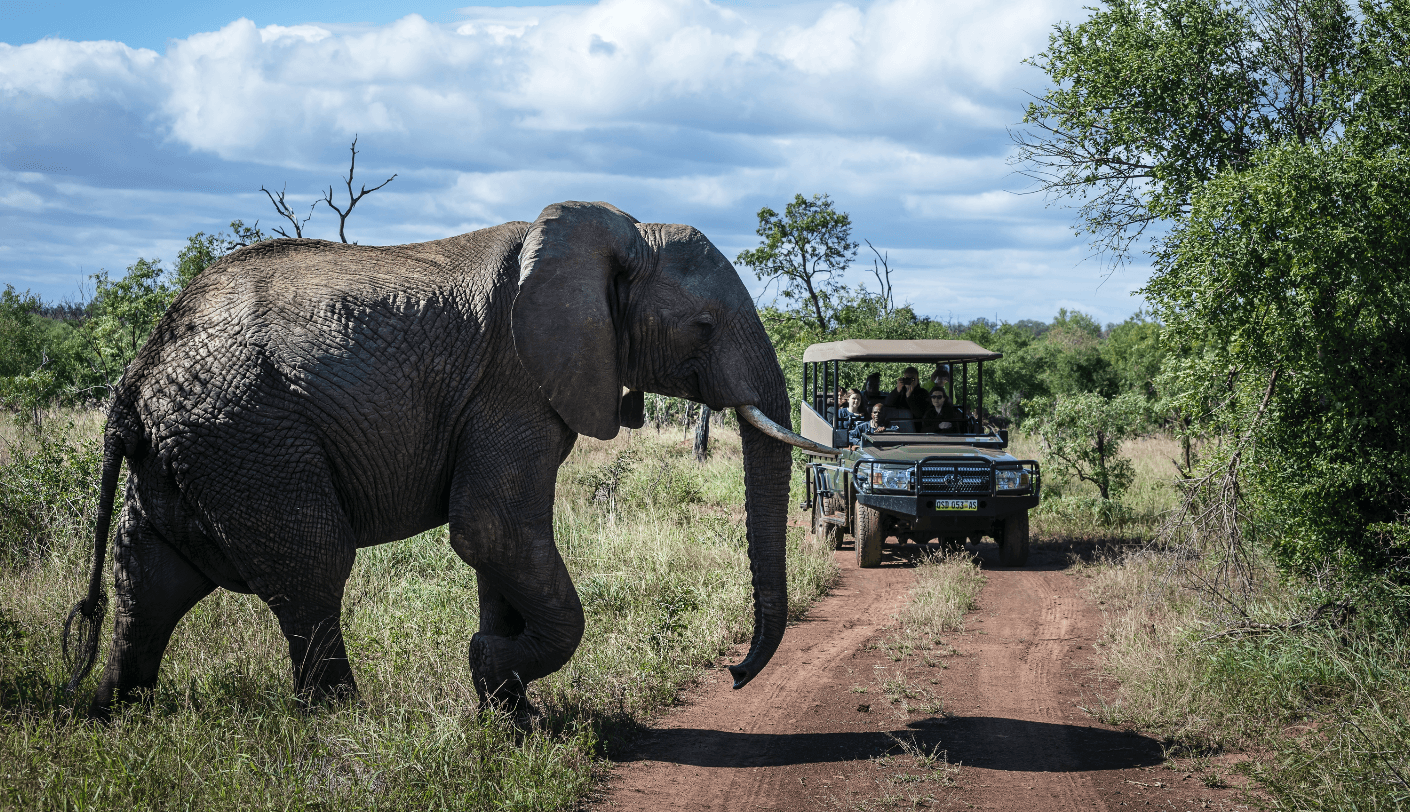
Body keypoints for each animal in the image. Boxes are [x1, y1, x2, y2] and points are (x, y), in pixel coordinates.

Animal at [62, 201, 838, 722]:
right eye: (703, 327)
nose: (735, 674)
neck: (612, 235)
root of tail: (134, 378)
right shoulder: (514, 380)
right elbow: (491, 528)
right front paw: (492, 672)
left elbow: (498, 548)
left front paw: (512, 713)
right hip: (248, 438)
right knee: (312, 564)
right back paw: (345, 726)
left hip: (191, 450)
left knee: (151, 577)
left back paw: (113, 716)